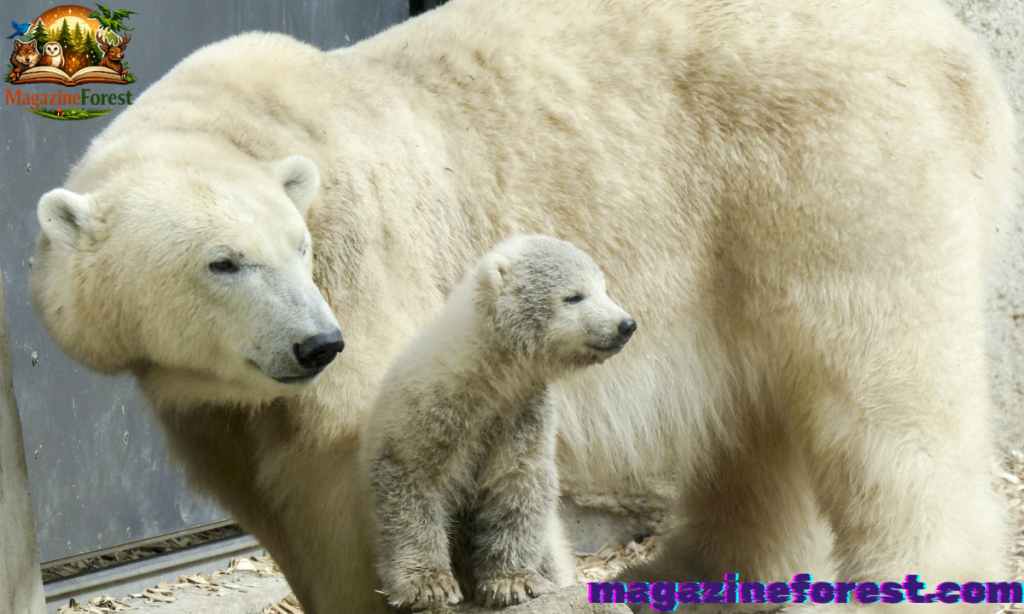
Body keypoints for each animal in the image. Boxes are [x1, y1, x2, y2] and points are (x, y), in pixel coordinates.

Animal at [361, 235, 635, 610]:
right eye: (574, 296)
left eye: (604, 288)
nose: (626, 324)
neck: (481, 371)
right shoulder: (427, 408)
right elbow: (410, 481)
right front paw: (428, 585)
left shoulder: (521, 412)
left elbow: (518, 482)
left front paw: (513, 582)